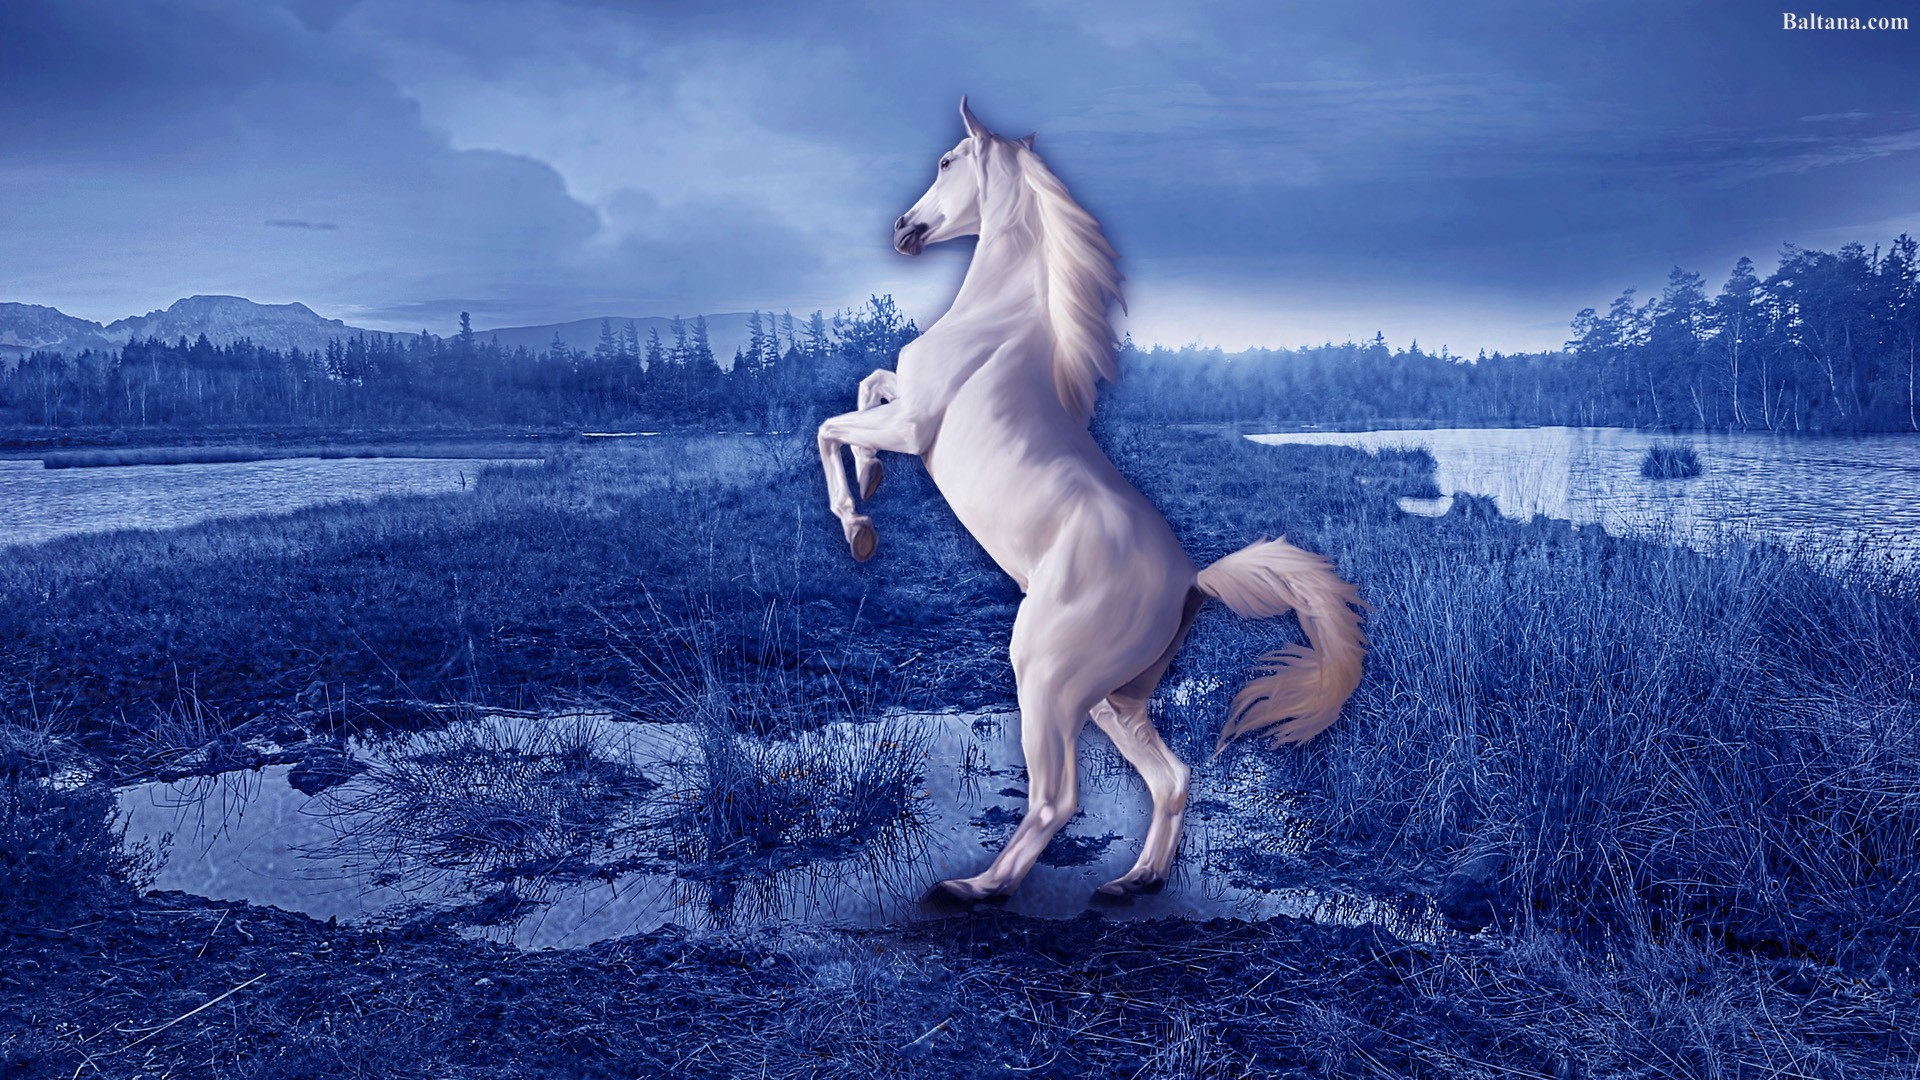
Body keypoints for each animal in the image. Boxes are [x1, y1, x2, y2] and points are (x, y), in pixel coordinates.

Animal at [816, 97, 1369, 904]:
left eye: (948, 161)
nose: (903, 231)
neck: (998, 324)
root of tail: (1191, 582)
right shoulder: (902, 405)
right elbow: (866, 386)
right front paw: (872, 486)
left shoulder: (914, 425)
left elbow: (833, 422)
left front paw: (858, 526)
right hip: (1114, 699)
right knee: (1171, 779)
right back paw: (1135, 881)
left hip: (1045, 676)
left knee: (1059, 797)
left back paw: (977, 889)